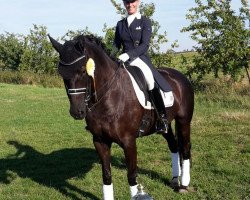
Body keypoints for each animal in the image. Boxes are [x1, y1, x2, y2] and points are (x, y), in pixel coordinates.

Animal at [47, 34, 194, 200]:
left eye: (83, 70)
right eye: (61, 73)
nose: (77, 112)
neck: (110, 96)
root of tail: (180, 76)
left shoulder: (129, 142)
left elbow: (131, 176)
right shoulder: (100, 141)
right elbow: (106, 176)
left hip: (184, 121)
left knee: (185, 148)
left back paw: (183, 185)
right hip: (165, 124)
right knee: (174, 146)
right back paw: (175, 179)